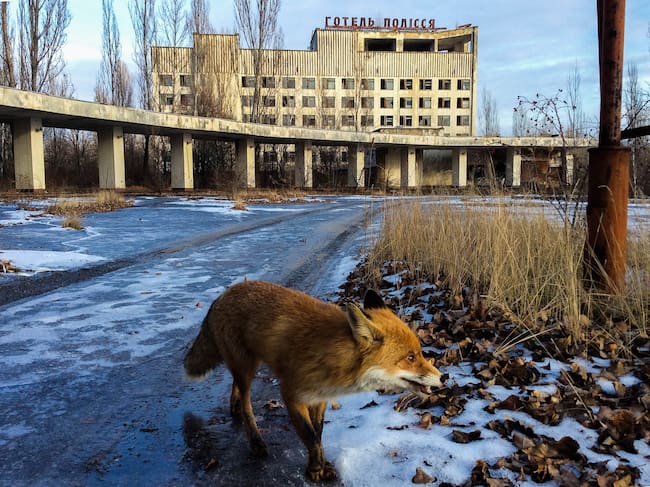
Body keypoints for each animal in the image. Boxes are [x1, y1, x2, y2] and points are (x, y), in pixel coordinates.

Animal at [183, 280, 446, 482]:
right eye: (410, 357)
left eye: (419, 353)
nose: (444, 376)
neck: (333, 357)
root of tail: (222, 295)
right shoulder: (291, 394)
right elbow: (310, 436)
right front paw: (315, 470)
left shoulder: (320, 397)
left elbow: (318, 434)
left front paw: (323, 465)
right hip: (246, 366)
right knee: (247, 402)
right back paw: (255, 439)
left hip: (246, 365)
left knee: (235, 386)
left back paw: (234, 407)